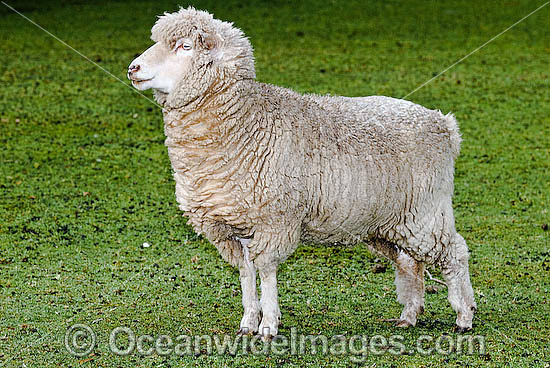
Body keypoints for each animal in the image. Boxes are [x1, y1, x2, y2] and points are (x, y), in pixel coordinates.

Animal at [127, 6, 476, 340]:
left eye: (184, 47)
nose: (133, 68)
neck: (246, 123)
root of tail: (444, 125)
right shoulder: (233, 228)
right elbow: (246, 273)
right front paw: (248, 322)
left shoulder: (274, 221)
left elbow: (266, 271)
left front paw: (268, 325)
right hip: (387, 222)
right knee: (409, 261)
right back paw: (409, 315)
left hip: (425, 212)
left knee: (455, 253)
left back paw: (464, 316)